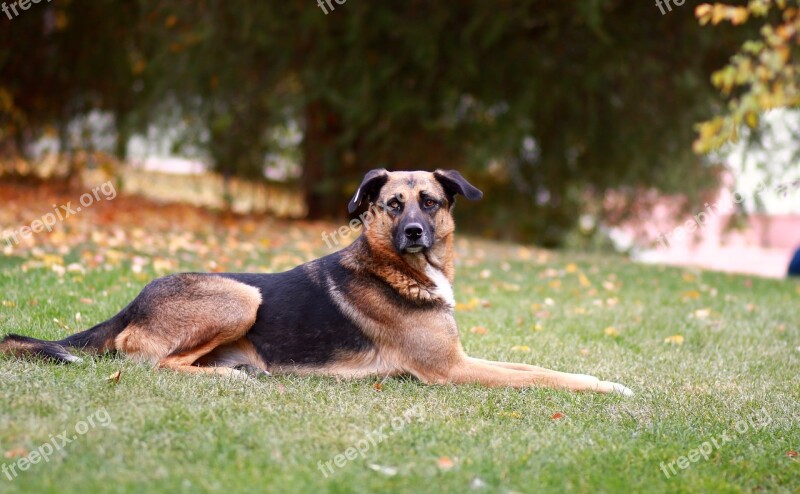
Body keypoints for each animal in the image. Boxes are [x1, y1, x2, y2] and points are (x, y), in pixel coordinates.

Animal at [3, 171, 636, 398]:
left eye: (430, 202)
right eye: (392, 204)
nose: (413, 232)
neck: (395, 268)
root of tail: (133, 302)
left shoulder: (461, 357)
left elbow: (534, 366)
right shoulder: (451, 369)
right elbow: (543, 375)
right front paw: (607, 387)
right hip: (243, 295)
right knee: (147, 360)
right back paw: (234, 376)